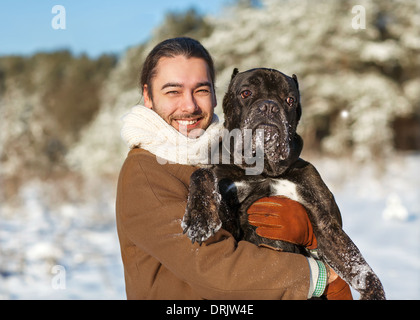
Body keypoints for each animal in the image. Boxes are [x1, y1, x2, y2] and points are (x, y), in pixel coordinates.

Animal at [182, 67, 386, 300]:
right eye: (245, 93)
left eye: (290, 99)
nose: (269, 106)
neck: (264, 167)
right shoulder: (228, 218)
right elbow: (202, 173)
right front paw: (200, 218)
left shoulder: (327, 225)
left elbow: (358, 266)